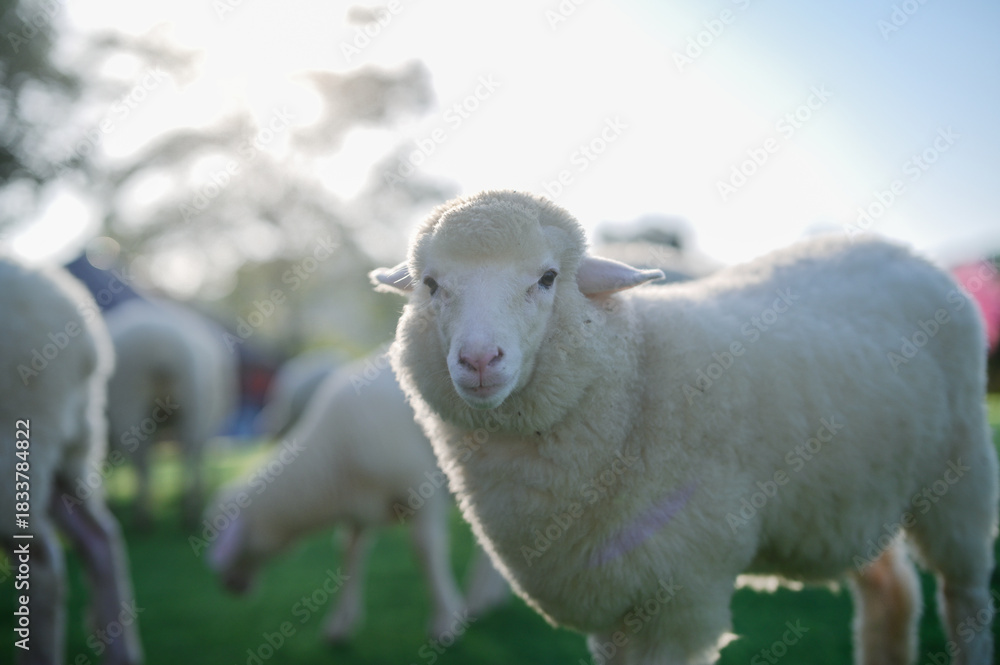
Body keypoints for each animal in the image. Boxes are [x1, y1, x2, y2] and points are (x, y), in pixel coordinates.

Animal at [103, 298, 238, 528]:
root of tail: (162, 350)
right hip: (191, 408)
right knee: (189, 453)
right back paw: (188, 508)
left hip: (131, 406)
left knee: (146, 462)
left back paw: (146, 515)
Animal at [203, 353, 508, 643]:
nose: (226, 586)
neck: (330, 461)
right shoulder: (359, 508)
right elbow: (349, 554)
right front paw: (341, 624)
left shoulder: (420, 488)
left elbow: (424, 550)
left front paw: (445, 621)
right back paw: (490, 595)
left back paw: (477, 598)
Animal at [371, 190, 998, 665]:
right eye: (431, 285)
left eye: (547, 278)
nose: (479, 360)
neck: (636, 381)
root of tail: (902, 250)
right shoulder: (612, 599)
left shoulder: (680, 597)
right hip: (853, 496)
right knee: (891, 594)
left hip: (961, 475)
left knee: (965, 595)